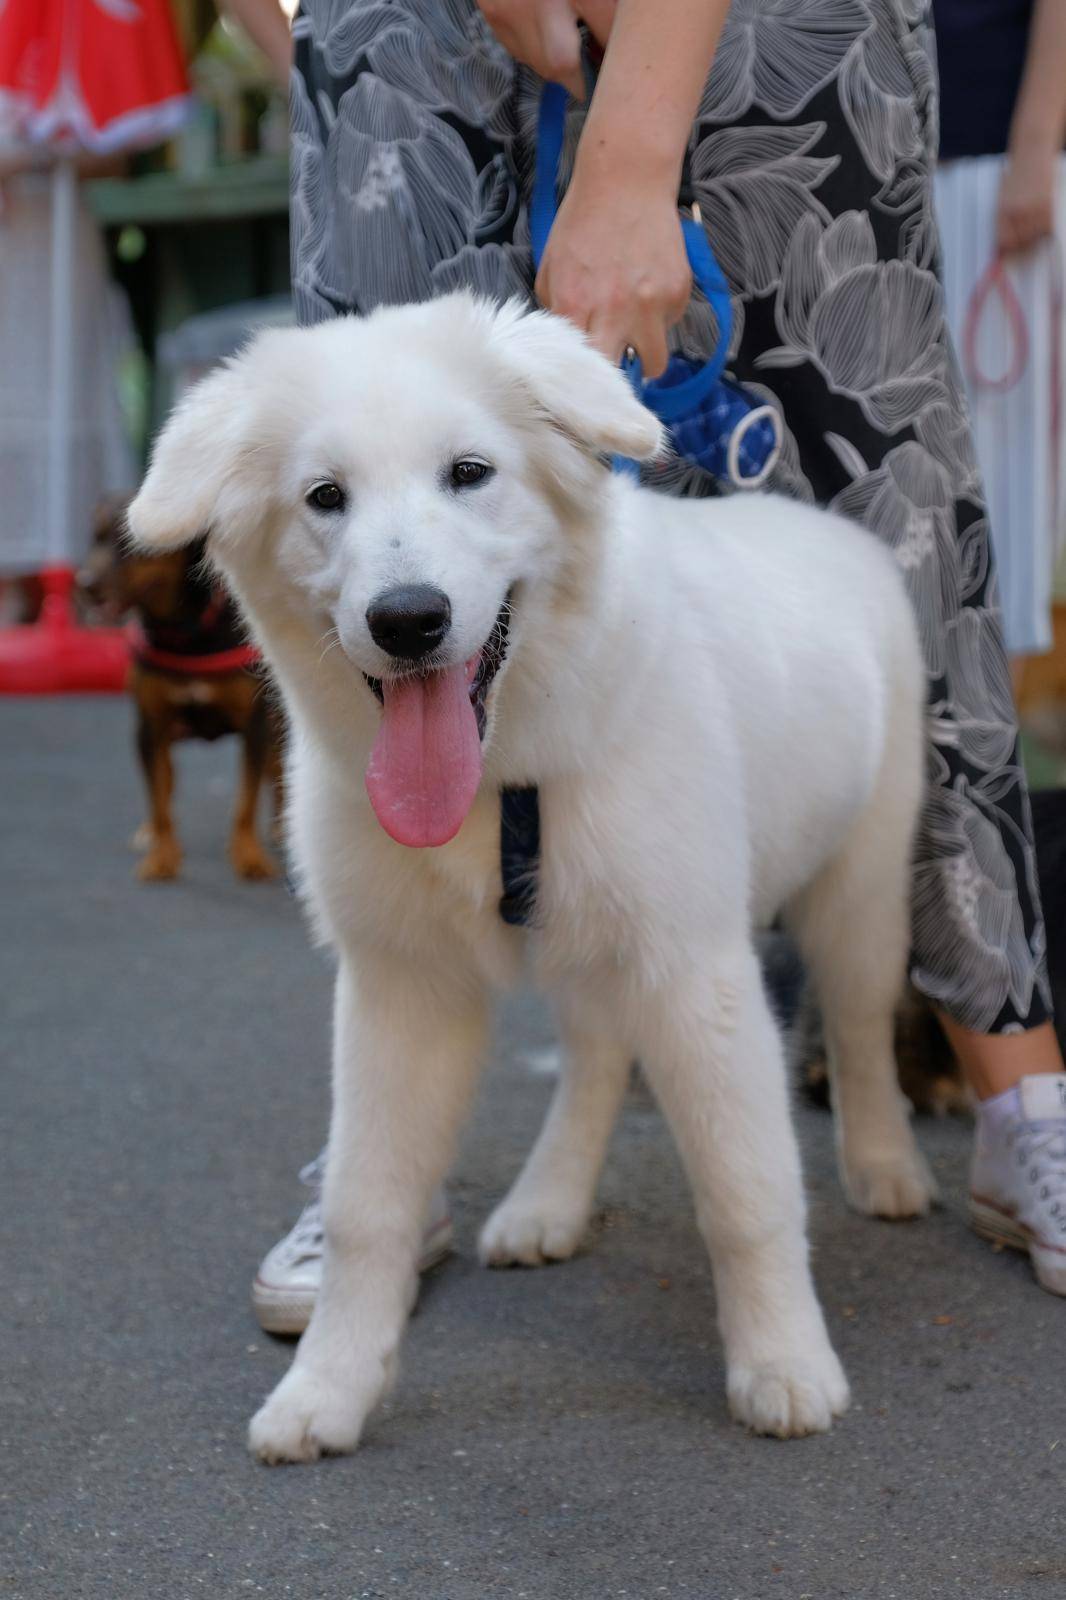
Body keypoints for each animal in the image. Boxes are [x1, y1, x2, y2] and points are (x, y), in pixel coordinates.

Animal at [82, 496, 281, 883]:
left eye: (130, 541)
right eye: (93, 538)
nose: (84, 584)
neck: (184, 630)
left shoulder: (256, 725)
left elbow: (246, 799)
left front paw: (248, 855)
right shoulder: (150, 726)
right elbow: (158, 797)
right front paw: (162, 856)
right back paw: (150, 833)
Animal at [128, 291, 934, 1465]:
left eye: (470, 472)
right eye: (324, 497)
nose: (407, 619)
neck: (504, 777)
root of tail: (817, 523)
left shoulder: (695, 966)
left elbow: (745, 1189)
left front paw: (785, 1364)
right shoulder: (400, 987)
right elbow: (368, 1205)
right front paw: (326, 1390)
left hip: (858, 890)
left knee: (865, 1027)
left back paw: (885, 1167)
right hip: (584, 936)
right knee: (595, 1054)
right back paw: (547, 1203)